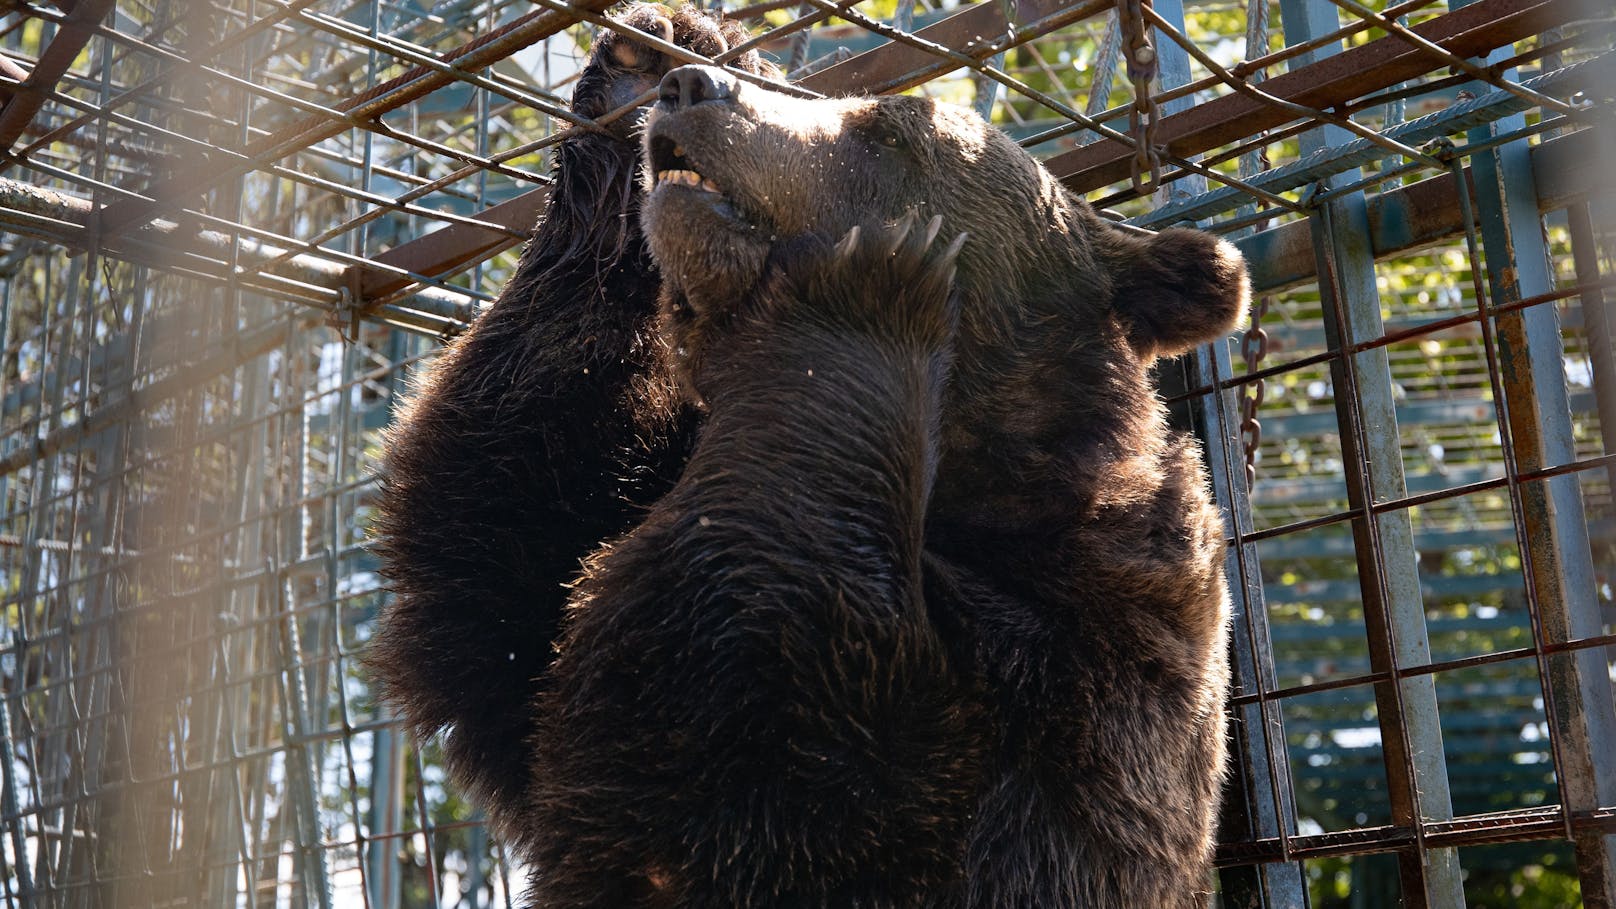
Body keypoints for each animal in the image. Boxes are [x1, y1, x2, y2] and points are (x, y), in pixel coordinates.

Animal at [370, 10, 1247, 899]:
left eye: (888, 131)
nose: (689, 91)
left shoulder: (1100, 674)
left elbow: (800, 764)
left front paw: (859, 287)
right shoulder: (571, 554)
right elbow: (501, 556)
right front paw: (648, 55)